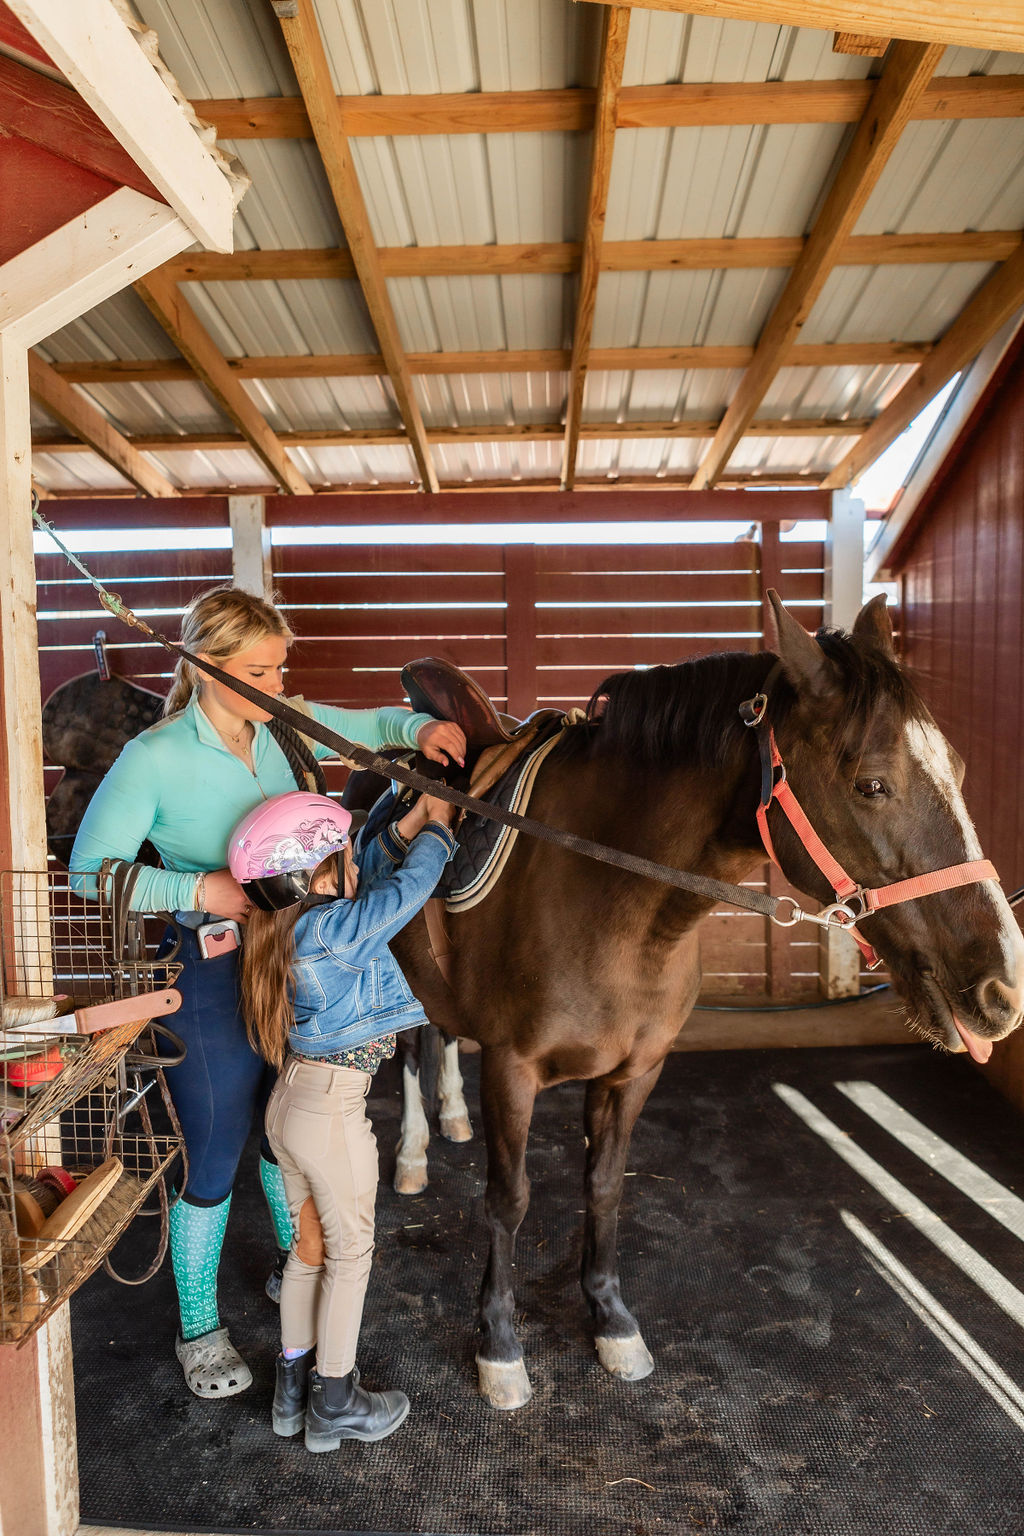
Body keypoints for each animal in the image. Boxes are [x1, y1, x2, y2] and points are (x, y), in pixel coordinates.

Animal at [385, 592, 1024, 1411]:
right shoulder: (512, 1068)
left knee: (437, 1039)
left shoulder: (637, 1071)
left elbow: (604, 1187)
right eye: (872, 784)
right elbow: (509, 1198)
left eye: (959, 769)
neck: (603, 894)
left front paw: (611, 1321)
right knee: (412, 1047)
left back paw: (452, 1119)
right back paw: (411, 1153)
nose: (1000, 986)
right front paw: (498, 1343)